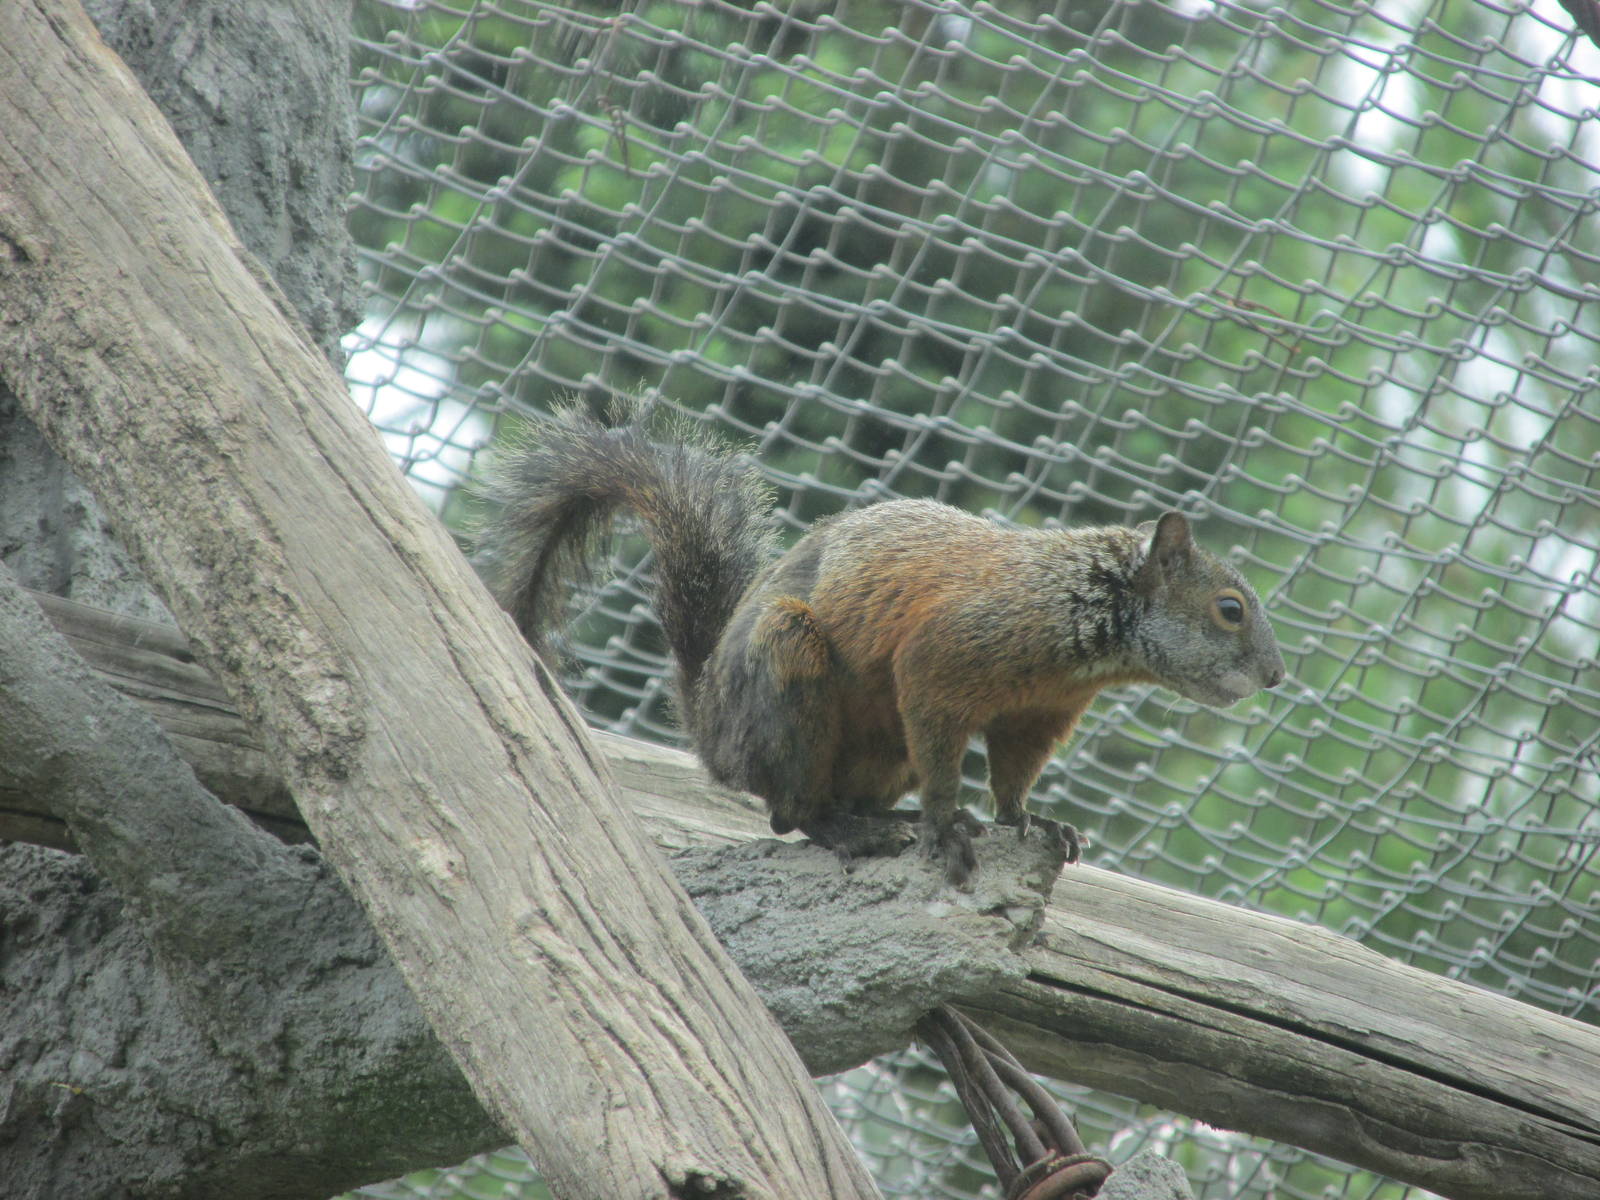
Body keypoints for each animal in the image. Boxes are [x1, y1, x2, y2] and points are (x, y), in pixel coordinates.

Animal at [477, 404, 1286, 886]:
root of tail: (710, 729)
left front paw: (1030, 819)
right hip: (789, 670)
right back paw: (860, 832)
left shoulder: (1039, 713)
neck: (1077, 606)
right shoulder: (943, 661)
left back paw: (883, 819)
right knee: (792, 812)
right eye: (1230, 609)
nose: (1276, 677)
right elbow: (941, 743)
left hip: (878, 752)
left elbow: (1012, 776)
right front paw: (946, 825)